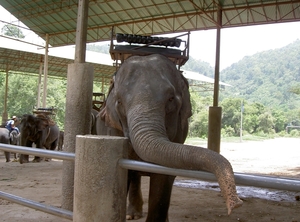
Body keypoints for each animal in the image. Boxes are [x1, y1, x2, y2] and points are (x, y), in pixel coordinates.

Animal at [99, 53, 244, 220]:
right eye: (119, 102)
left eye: (171, 99)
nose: (236, 204)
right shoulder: (113, 130)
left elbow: (163, 180)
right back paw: (132, 215)